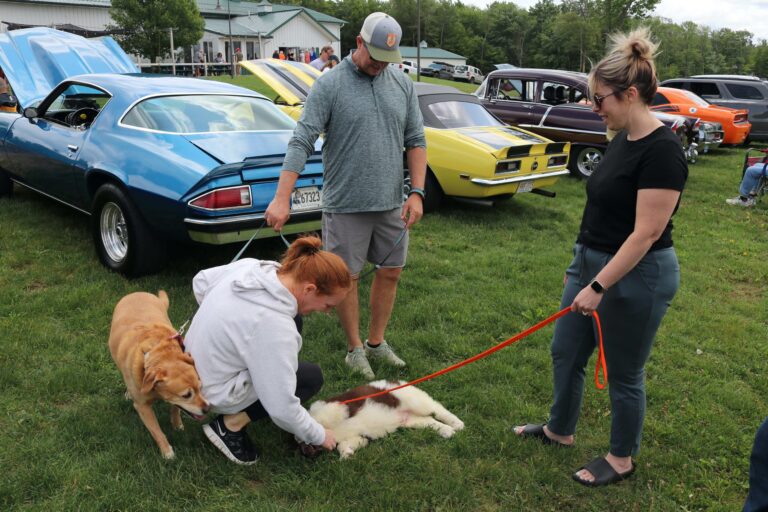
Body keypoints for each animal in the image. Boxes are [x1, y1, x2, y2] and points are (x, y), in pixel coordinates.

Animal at [109, 292, 210, 460]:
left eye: (200, 388)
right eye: (186, 395)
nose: (207, 409)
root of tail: (136, 293)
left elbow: (175, 409)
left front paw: (177, 425)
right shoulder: (142, 407)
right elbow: (157, 432)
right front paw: (167, 452)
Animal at [308, 380, 464, 460]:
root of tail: (398, 381)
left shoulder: (332, 407)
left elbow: (327, 417)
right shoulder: (356, 437)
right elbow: (345, 443)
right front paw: (346, 453)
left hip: (414, 400)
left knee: (438, 408)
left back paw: (456, 423)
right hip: (411, 420)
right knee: (429, 420)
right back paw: (446, 431)